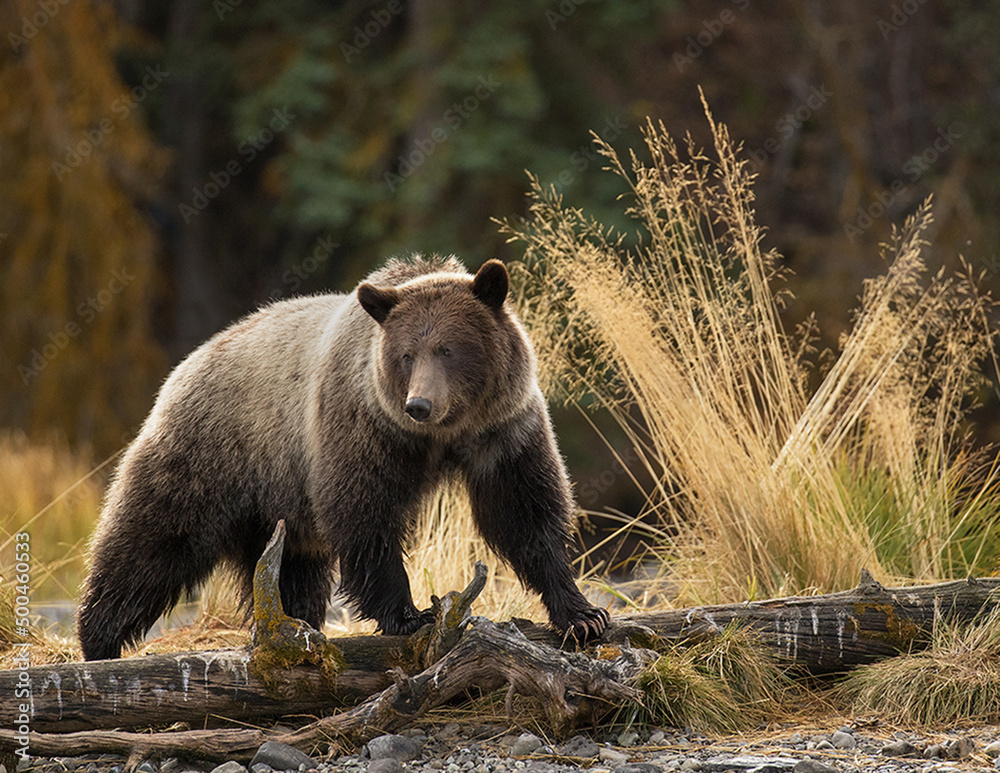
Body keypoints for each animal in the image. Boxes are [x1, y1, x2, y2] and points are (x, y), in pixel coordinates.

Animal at [77, 255, 609, 661]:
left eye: (449, 349)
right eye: (407, 355)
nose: (420, 404)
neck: (442, 435)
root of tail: (190, 361)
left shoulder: (502, 431)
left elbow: (525, 513)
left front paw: (583, 615)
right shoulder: (363, 426)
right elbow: (365, 513)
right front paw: (411, 614)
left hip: (281, 505)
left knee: (292, 571)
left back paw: (292, 623)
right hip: (217, 451)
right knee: (153, 539)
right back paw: (99, 638)